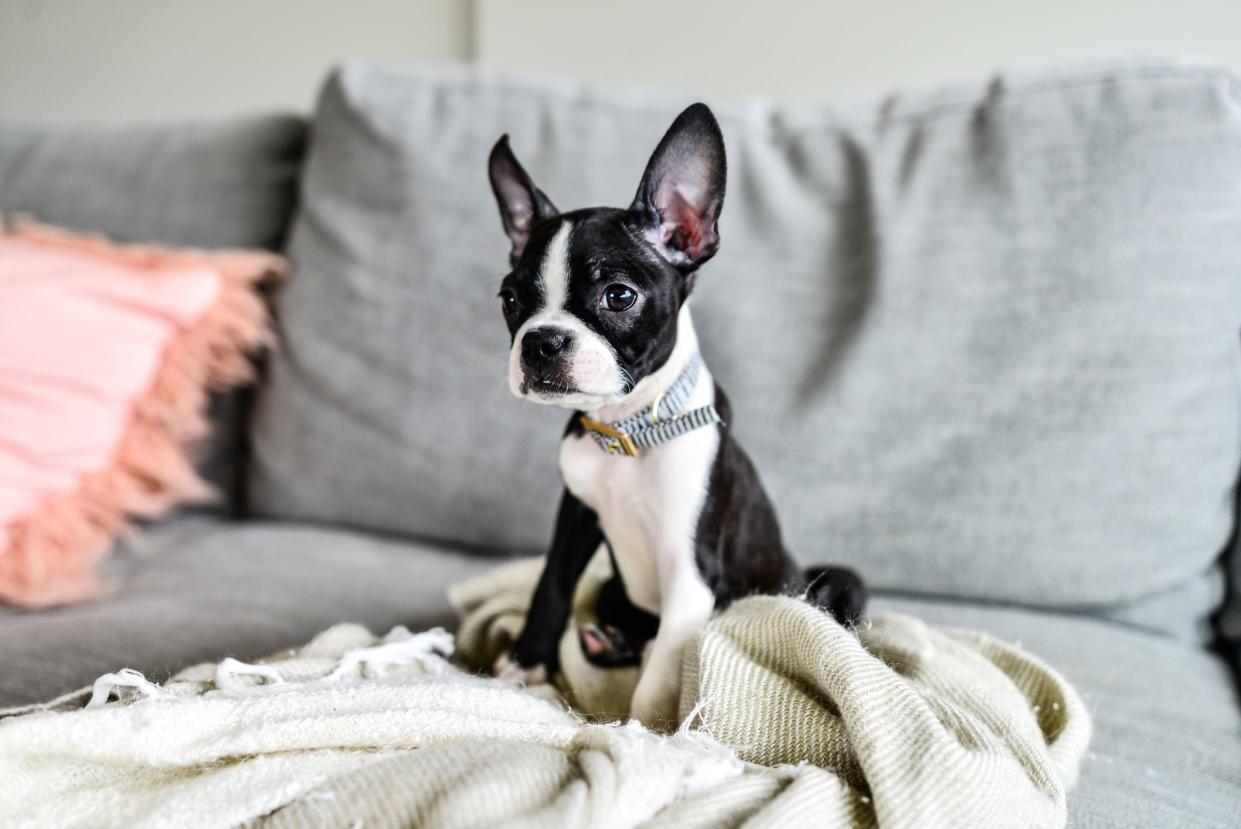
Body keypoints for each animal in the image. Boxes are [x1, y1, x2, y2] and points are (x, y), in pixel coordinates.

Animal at [483, 101, 863, 724]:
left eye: (619, 296)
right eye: (511, 300)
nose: (542, 341)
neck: (628, 427)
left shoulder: (690, 573)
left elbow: (661, 668)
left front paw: (644, 729)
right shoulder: (576, 518)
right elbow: (551, 587)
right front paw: (527, 662)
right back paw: (605, 640)